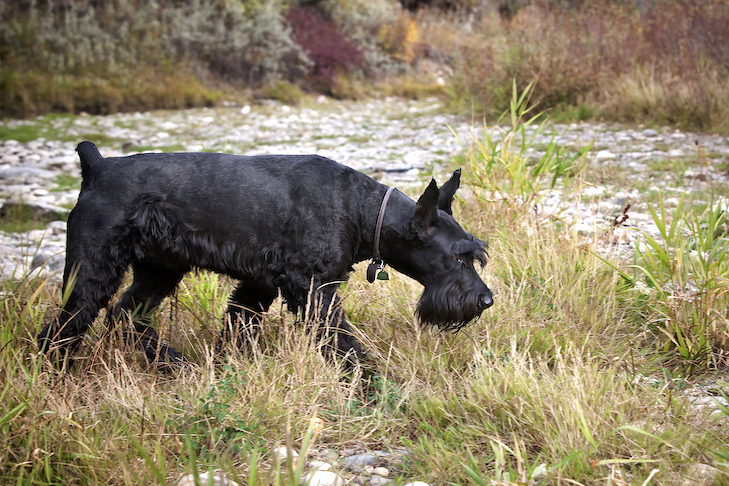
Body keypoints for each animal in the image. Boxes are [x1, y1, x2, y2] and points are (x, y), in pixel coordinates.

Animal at [39, 142, 494, 366]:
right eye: (457, 257)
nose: (486, 300)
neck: (360, 209)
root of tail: (96, 167)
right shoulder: (311, 289)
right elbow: (343, 342)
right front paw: (370, 386)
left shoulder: (258, 285)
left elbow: (238, 328)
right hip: (92, 271)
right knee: (64, 327)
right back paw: (54, 374)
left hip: (160, 269)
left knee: (126, 313)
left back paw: (170, 362)